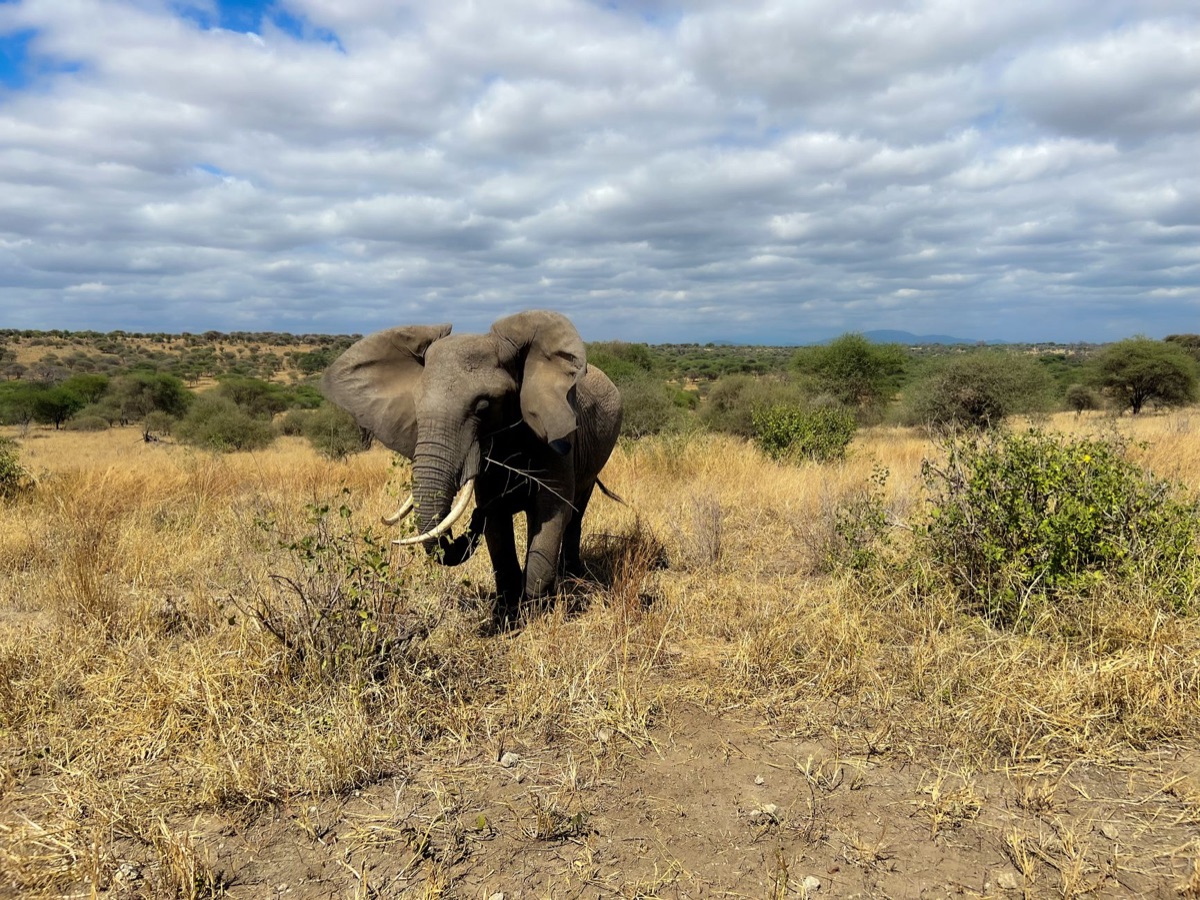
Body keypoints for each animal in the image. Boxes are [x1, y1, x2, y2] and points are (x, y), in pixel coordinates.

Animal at [321, 309, 623, 623]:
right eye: (415, 407)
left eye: (483, 406)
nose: (474, 517)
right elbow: (498, 527)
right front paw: (507, 615)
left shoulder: (558, 440)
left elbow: (552, 512)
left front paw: (535, 613)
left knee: (576, 512)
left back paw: (573, 576)